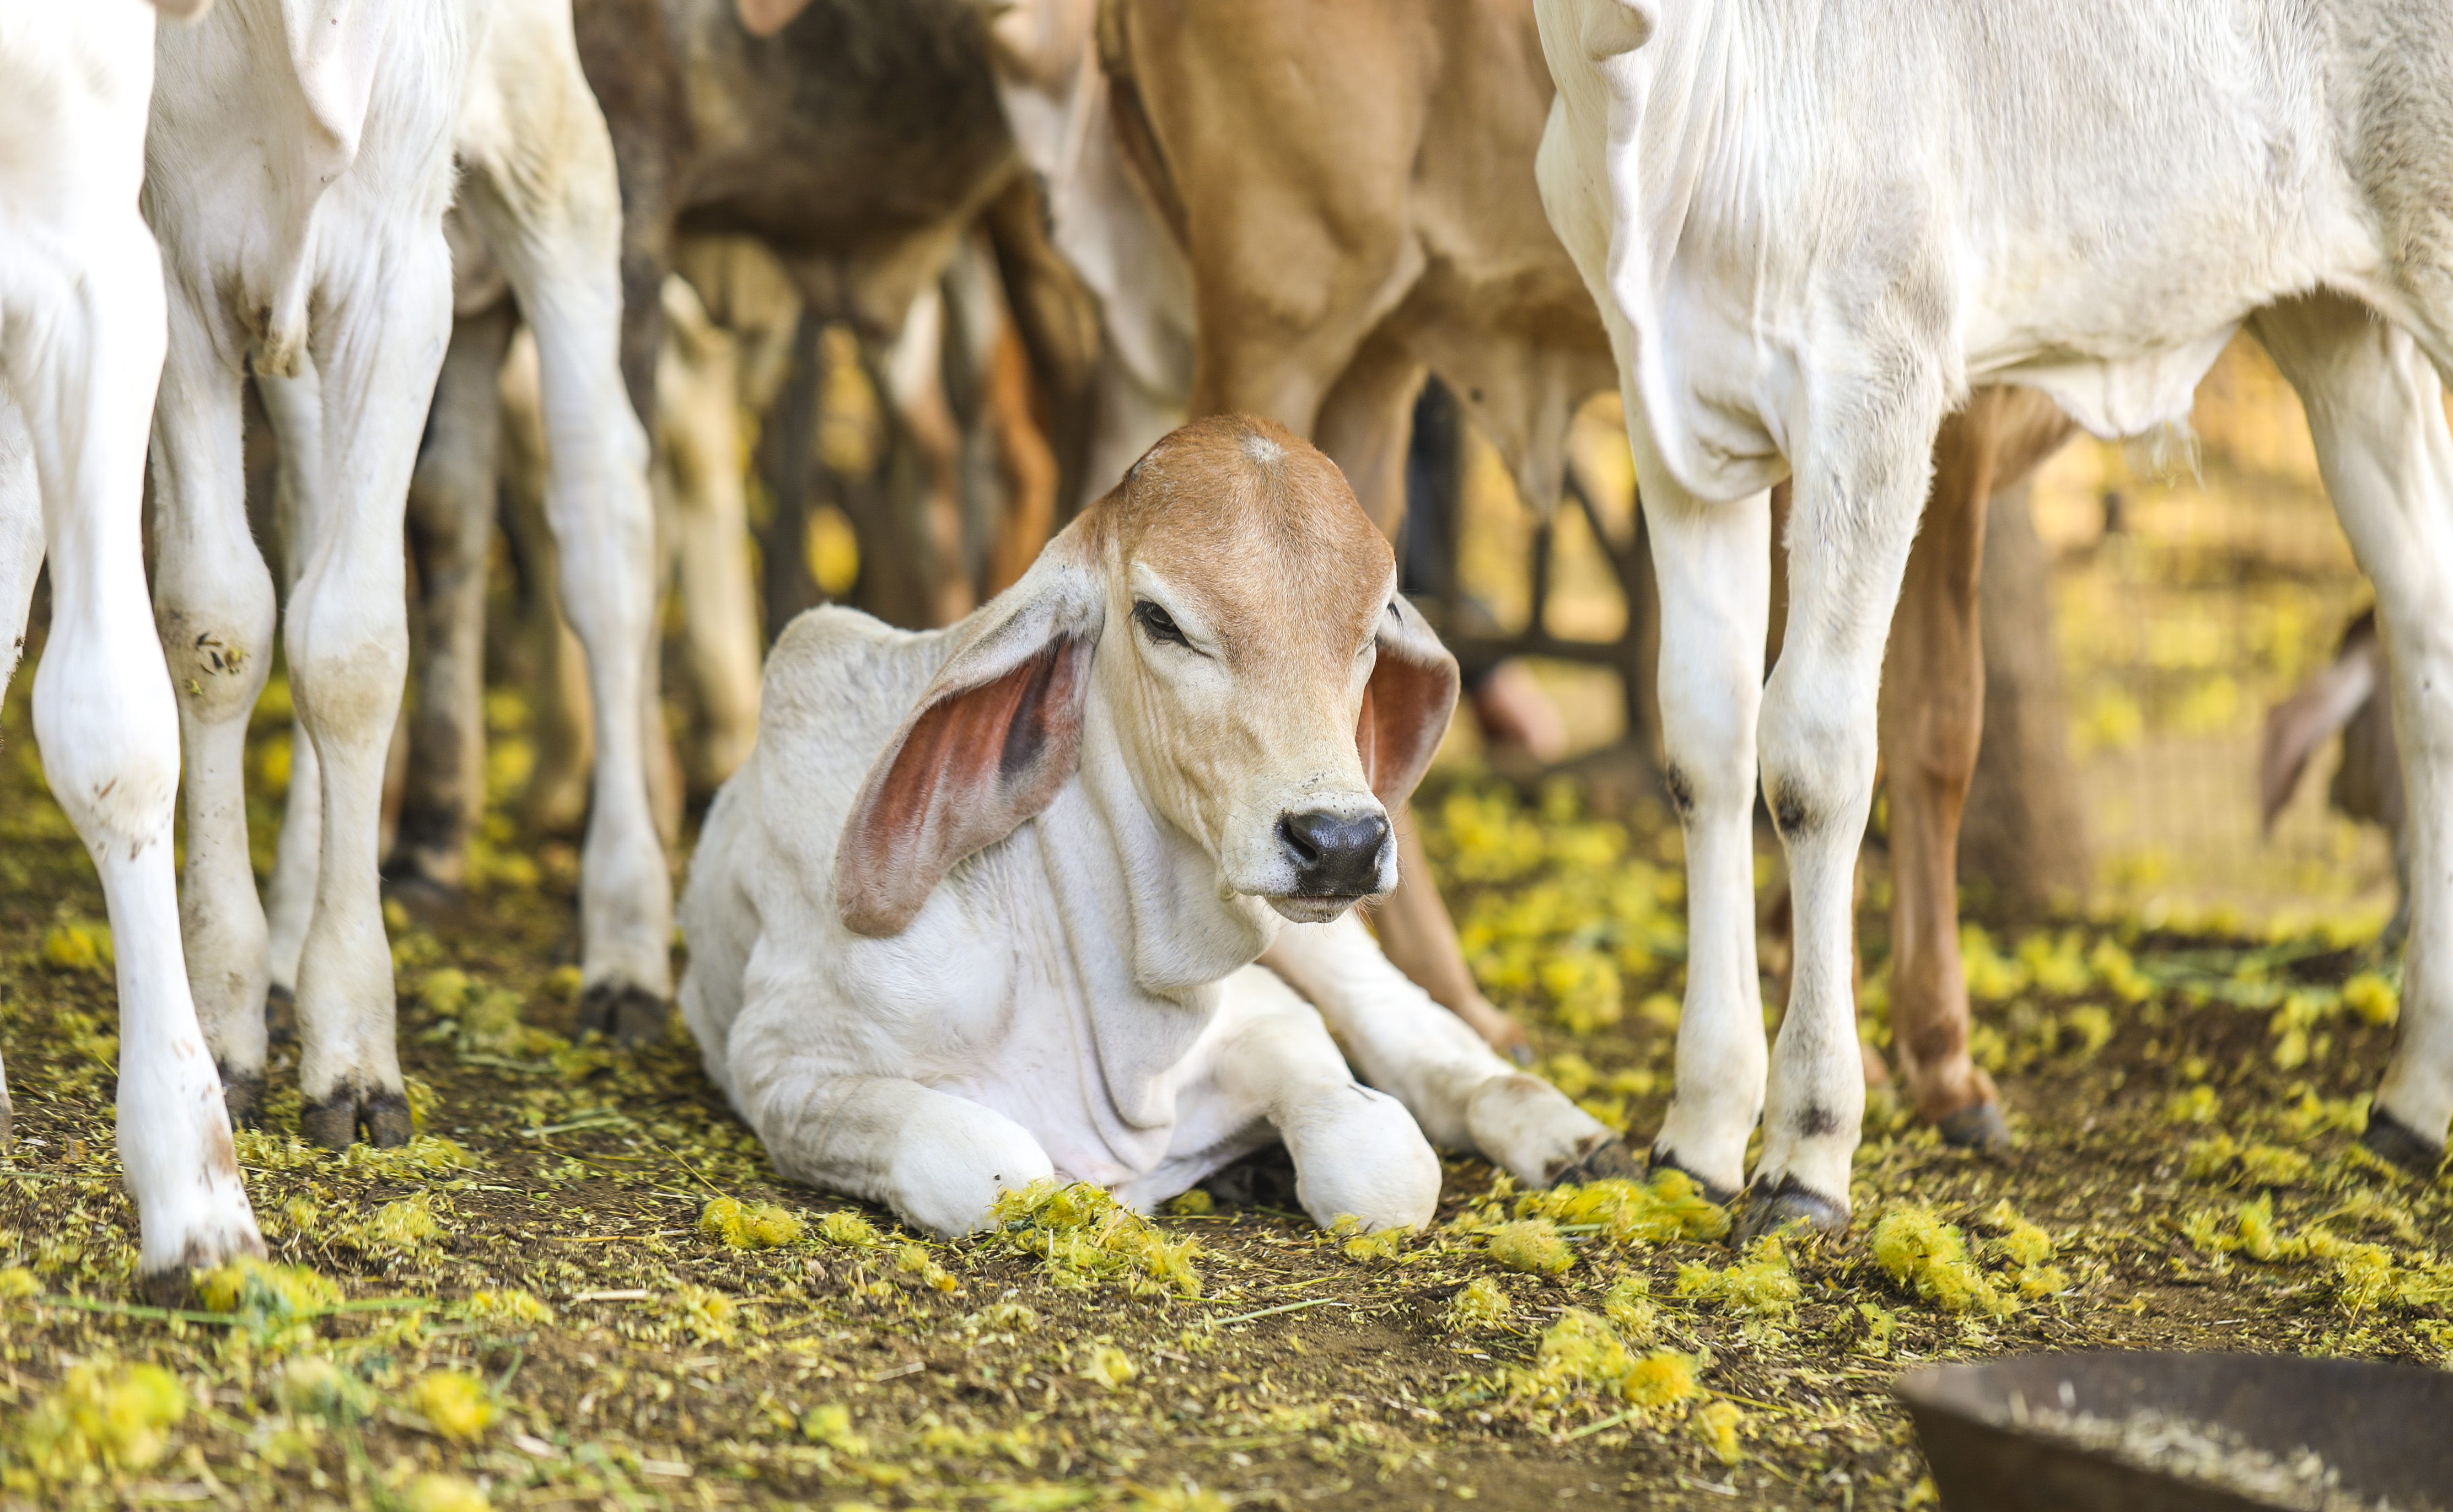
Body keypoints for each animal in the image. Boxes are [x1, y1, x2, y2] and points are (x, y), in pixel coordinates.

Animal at [678, 415, 1633, 1235]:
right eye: (1160, 619)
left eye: (1373, 624)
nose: (1341, 842)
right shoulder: (787, 1069)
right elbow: (989, 1160)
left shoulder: (1271, 1019)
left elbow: (1382, 1157)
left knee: (1426, 1045)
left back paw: (1565, 1136)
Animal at [1535, 0, 2453, 1236]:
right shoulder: (1675, 419)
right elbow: (1702, 747)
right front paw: (1699, 1130)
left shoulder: (1879, 382)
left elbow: (1812, 755)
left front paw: (1807, 1148)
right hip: (2338, 326)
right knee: (2425, 641)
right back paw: (2413, 1098)